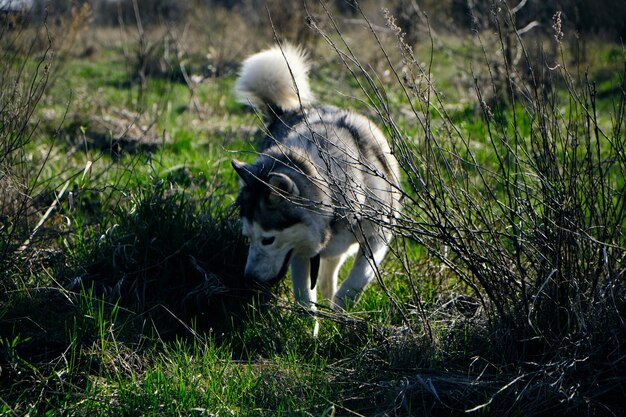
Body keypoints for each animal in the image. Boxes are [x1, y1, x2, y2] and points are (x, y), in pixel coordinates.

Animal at [230, 44, 400, 312]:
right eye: (248, 237)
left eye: (268, 240)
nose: (249, 279)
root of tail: (285, 112)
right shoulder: (302, 252)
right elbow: (304, 298)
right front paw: (311, 323)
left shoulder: (379, 236)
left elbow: (356, 280)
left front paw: (340, 313)